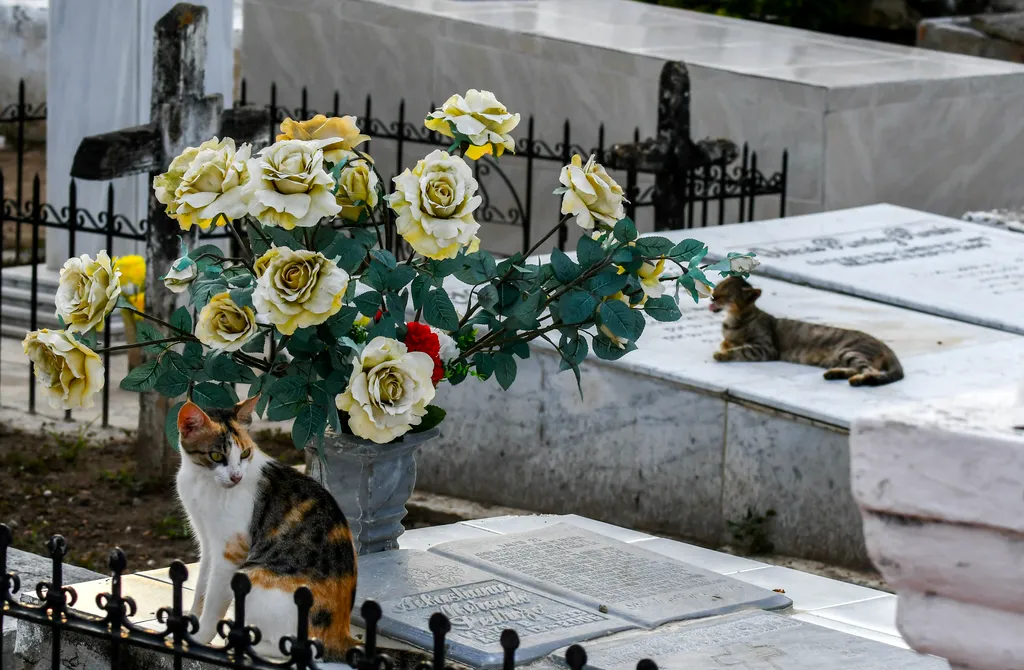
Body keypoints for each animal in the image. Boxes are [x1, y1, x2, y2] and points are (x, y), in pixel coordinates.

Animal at [180, 399, 436, 667]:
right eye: (216, 456)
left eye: (245, 454)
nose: (237, 476)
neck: (201, 481)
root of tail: (340, 634)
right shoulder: (207, 543)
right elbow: (201, 589)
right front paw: (190, 621)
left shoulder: (230, 551)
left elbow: (213, 599)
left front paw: (200, 636)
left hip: (253, 578)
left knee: (303, 647)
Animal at [712, 276, 905, 385]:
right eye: (717, 286)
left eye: (726, 294)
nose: (713, 296)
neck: (732, 321)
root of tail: (886, 346)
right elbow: (727, 343)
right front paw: (726, 346)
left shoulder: (766, 348)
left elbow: (741, 350)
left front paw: (723, 354)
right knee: (859, 369)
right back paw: (835, 374)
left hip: (849, 351)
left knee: (870, 371)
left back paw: (856, 381)